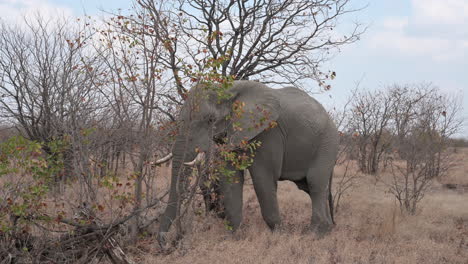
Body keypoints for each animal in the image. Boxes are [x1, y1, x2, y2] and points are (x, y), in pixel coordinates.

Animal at [156, 80, 336, 243]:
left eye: (210, 119)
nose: (164, 241)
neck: (227, 89)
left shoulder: (267, 131)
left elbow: (263, 179)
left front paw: (279, 236)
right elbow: (231, 179)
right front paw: (233, 237)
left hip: (326, 144)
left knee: (315, 183)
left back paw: (315, 234)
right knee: (309, 187)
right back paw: (328, 229)